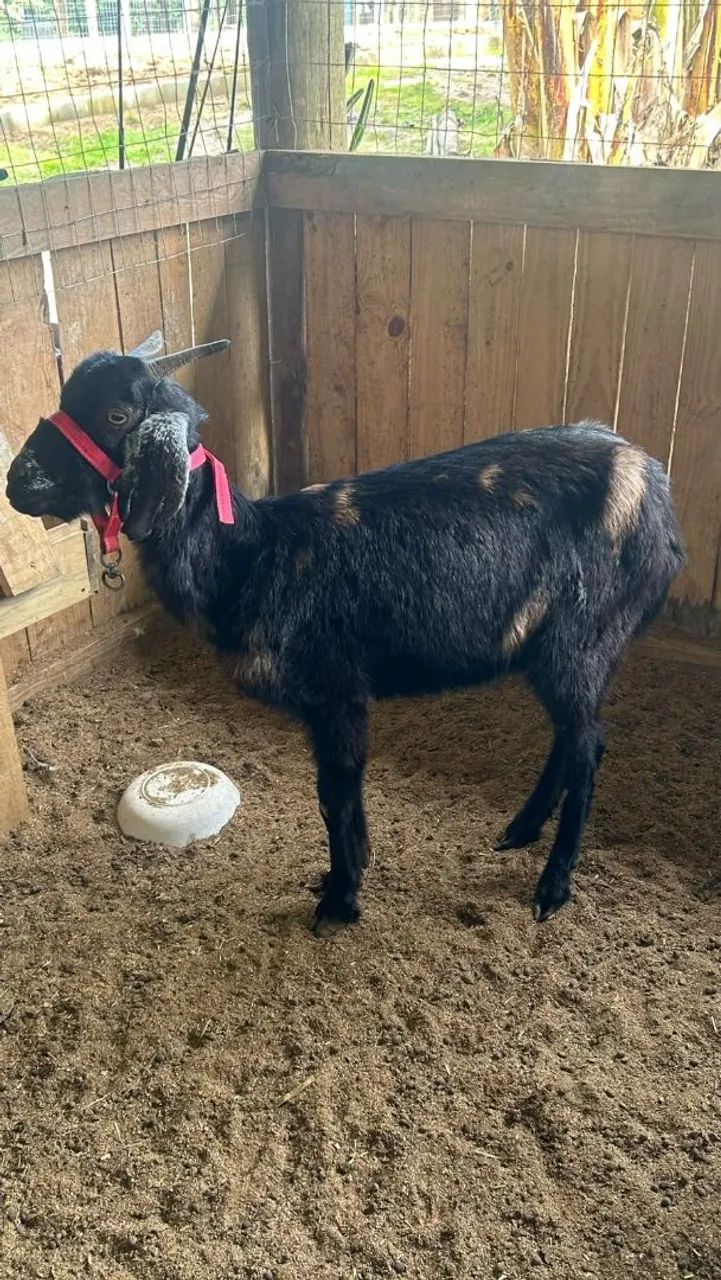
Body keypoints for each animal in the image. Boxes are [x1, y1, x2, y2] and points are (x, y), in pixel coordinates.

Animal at [6, 335, 685, 932]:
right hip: (553, 646)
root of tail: (657, 492)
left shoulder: (338, 692)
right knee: (570, 738)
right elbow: (336, 798)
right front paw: (346, 877)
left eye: (116, 414)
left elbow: (336, 797)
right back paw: (520, 829)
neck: (249, 554)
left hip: (585, 634)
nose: (17, 481)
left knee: (588, 747)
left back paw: (553, 885)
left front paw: (339, 899)